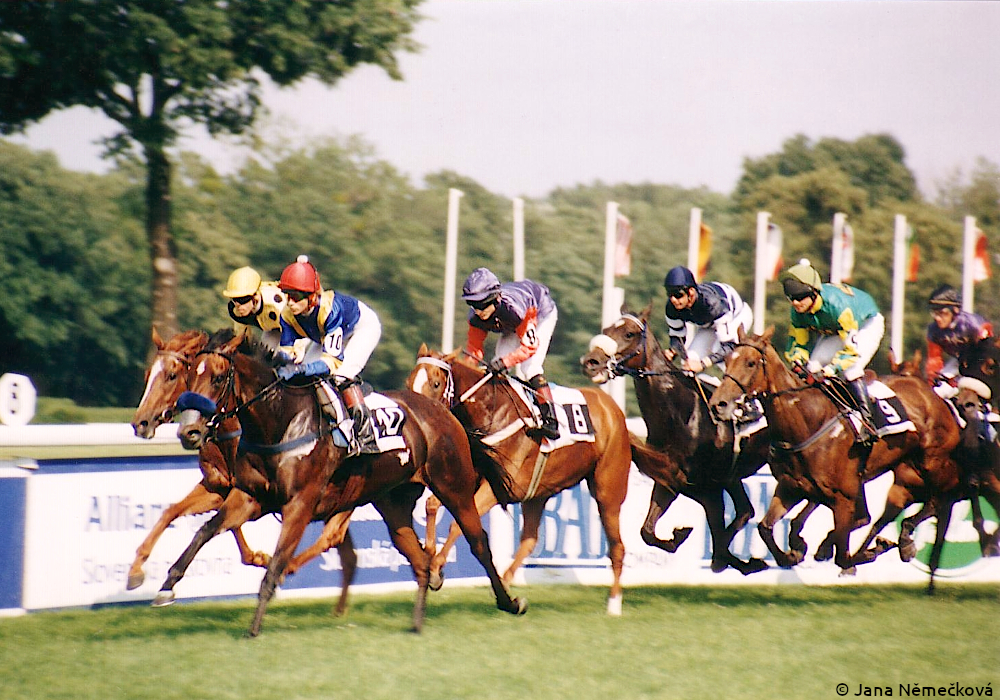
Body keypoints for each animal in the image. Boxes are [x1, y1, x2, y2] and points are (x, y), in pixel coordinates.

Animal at [129, 327, 357, 616]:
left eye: (171, 375)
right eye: (148, 375)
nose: (140, 423)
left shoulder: (248, 489)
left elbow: (234, 531)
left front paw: (261, 558)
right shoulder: (217, 485)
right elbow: (172, 511)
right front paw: (137, 571)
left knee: (333, 535)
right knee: (343, 545)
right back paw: (339, 605)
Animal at [166, 330, 525, 636]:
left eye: (217, 378)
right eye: (188, 376)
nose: (189, 432)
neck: (281, 421)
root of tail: (444, 412)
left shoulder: (299, 505)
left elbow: (277, 562)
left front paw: (254, 628)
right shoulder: (250, 497)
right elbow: (206, 530)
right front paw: (168, 584)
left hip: (454, 487)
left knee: (478, 542)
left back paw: (509, 602)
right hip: (393, 503)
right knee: (419, 560)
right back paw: (417, 622)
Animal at [406, 343, 631, 615]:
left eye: (436, 383)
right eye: (409, 381)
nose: (417, 413)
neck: (491, 412)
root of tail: (613, 409)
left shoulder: (502, 488)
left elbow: (457, 525)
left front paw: (436, 567)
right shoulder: (470, 481)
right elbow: (431, 505)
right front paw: (429, 554)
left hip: (608, 489)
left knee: (617, 545)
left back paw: (614, 603)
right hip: (538, 493)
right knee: (530, 539)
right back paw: (505, 582)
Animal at [579, 303, 769, 575]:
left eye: (629, 334)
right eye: (606, 330)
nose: (591, 362)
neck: (682, 415)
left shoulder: (712, 489)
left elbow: (720, 543)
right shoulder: (672, 482)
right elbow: (647, 531)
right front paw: (678, 536)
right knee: (745, 511)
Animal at [708, 327, 963, 589]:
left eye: (750, 363)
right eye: (726, 360)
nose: (718, 404)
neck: (806, 421)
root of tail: (931, 394)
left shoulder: (843, 496)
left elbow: (843, 552)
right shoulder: (791, 488)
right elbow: (765, 528)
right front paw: (793, 553)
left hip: (932, 463)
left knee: (940, 498)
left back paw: (904, 540)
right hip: (905, 476)